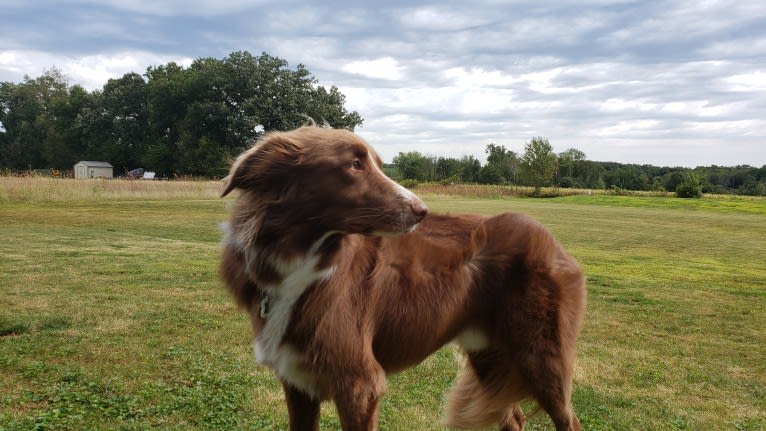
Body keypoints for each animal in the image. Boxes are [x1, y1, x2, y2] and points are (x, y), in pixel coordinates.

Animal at [220, 126, 588, 430]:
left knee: (569, 420)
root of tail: (552, 241)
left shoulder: (359, 384)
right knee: (513, 418)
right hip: (489, 354)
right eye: (355, 164)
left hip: (541, 356)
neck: (300, 258)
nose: (422, 211)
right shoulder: (297, 383)